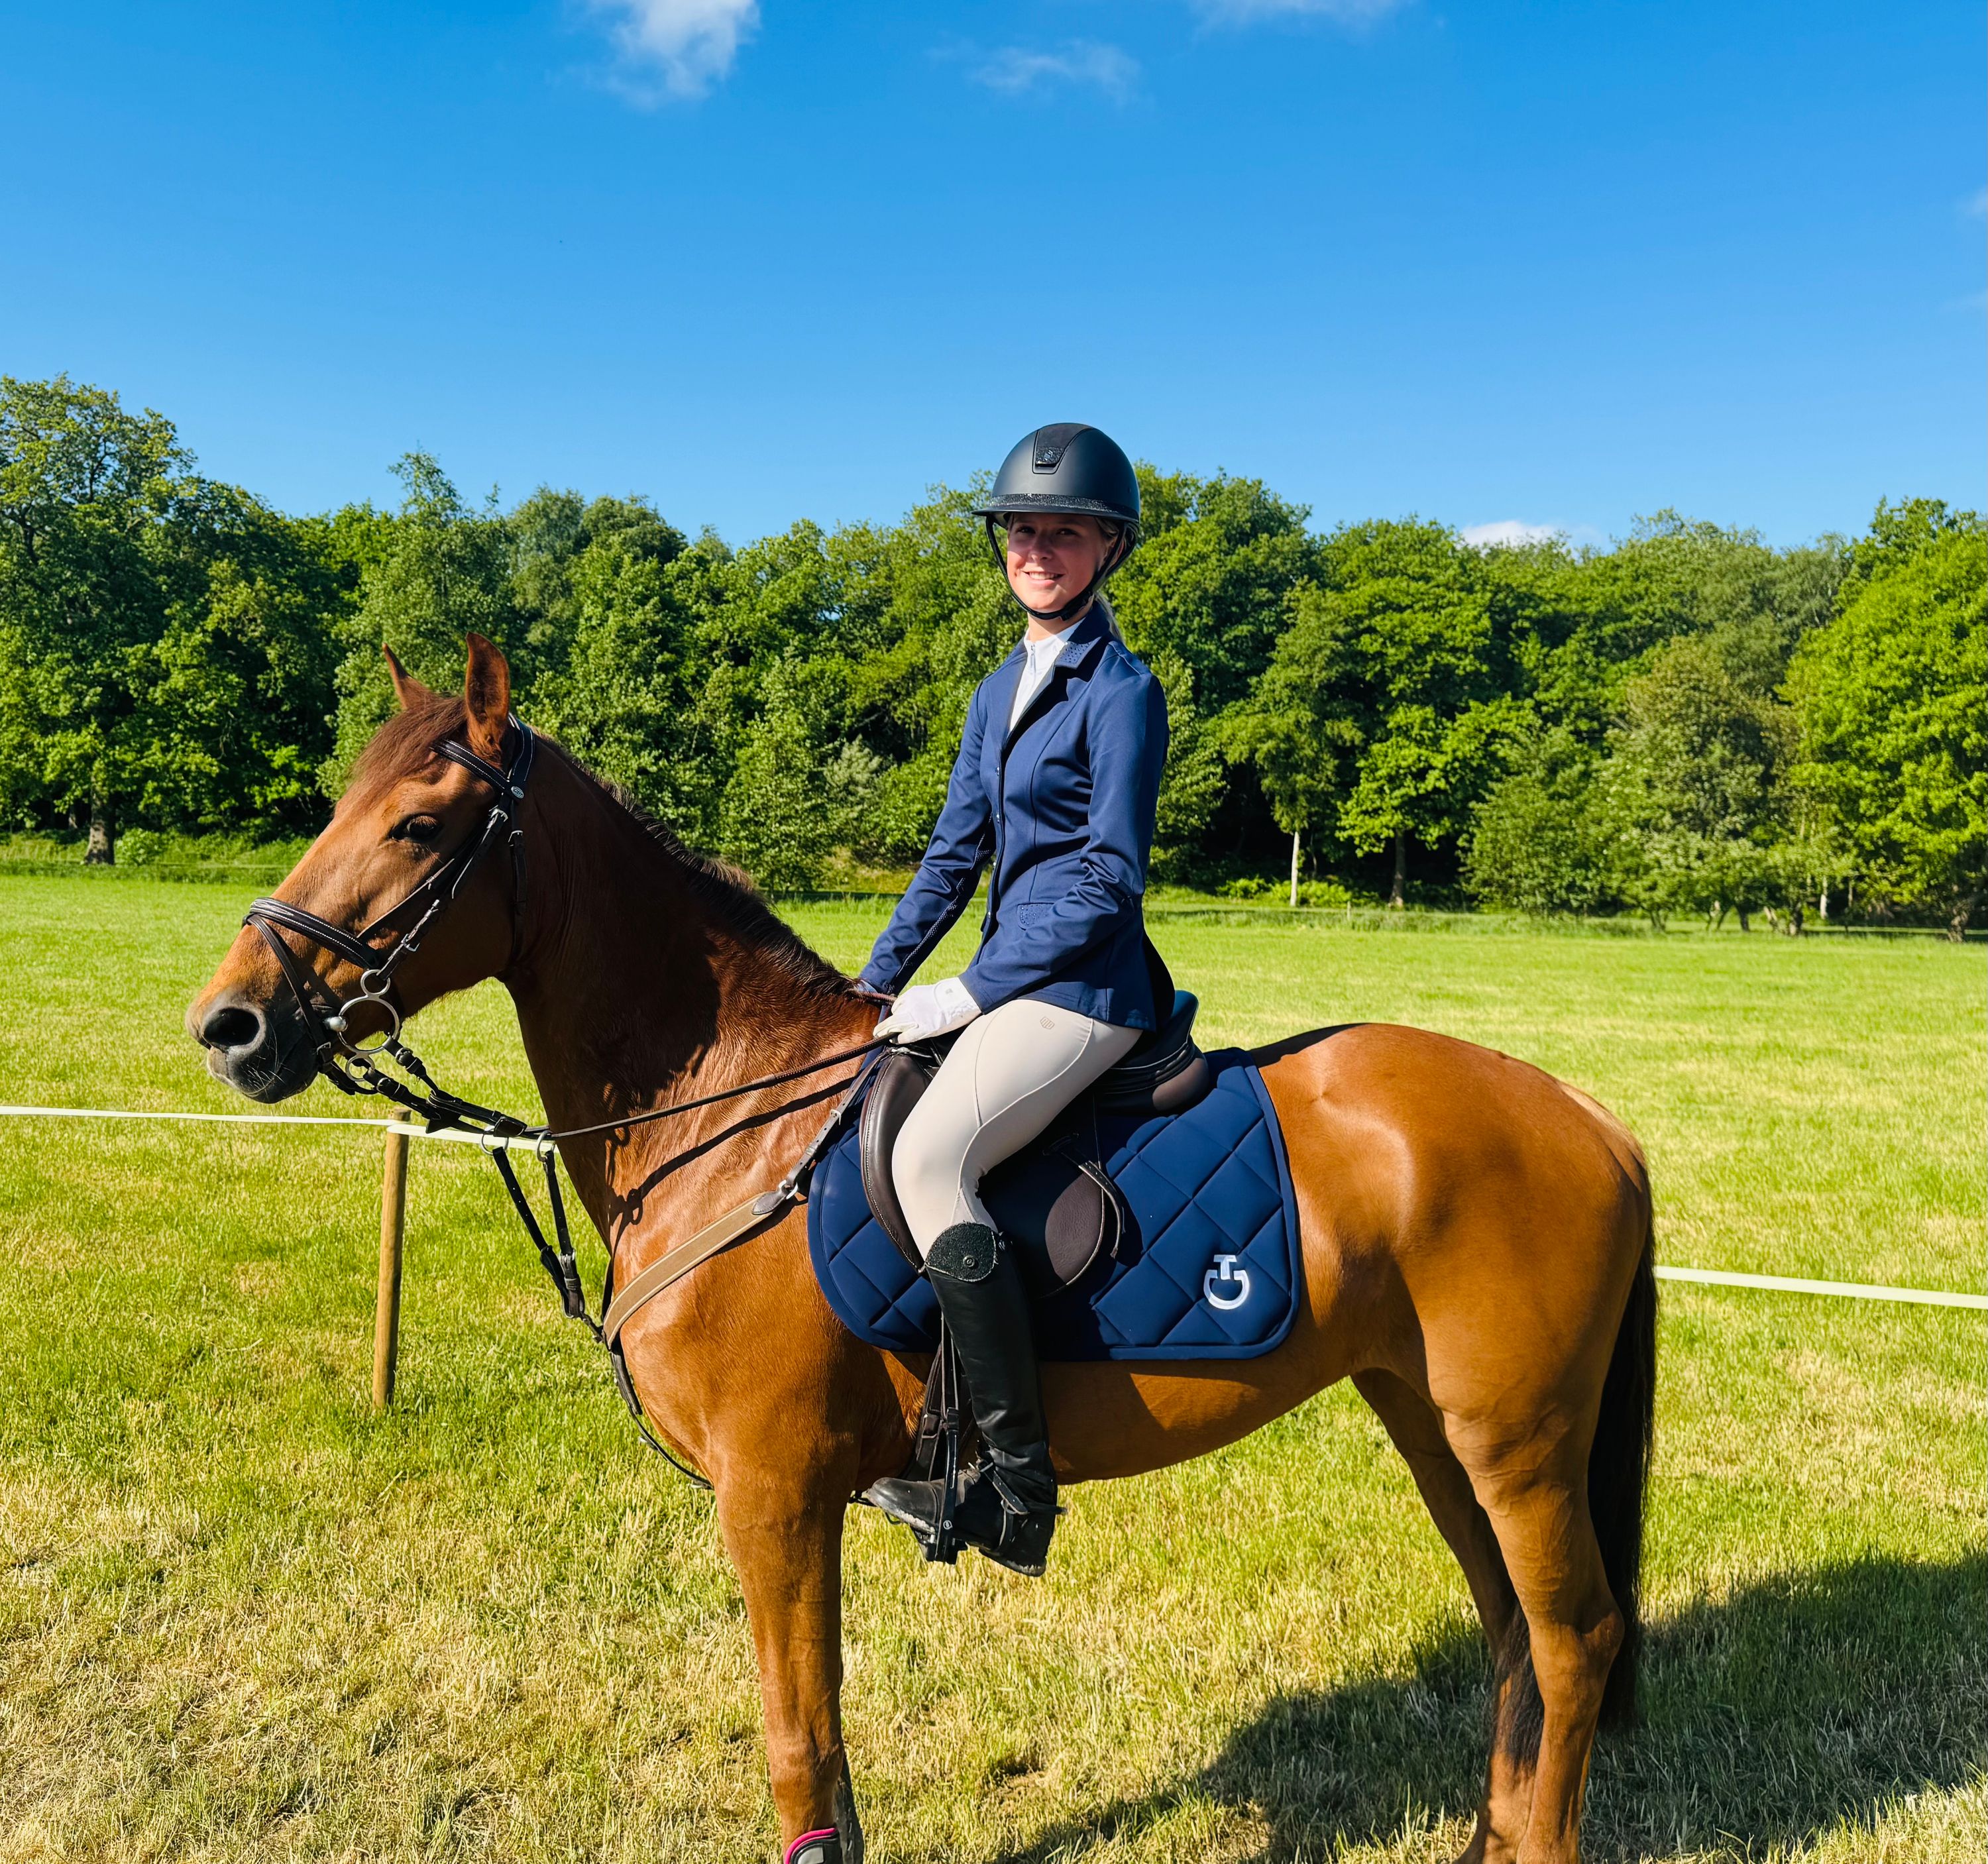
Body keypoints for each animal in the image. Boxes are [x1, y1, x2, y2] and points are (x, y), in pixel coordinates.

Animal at [186, 635, 1655, 1864]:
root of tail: (1587, 1112)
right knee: (1513, 1637)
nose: (231, 1025)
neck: (732, 1115)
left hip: (1518, 1439)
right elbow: (825, 1743)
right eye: (335, 806)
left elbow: (798, 1734)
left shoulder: (771, 1493)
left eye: (418, 823)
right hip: (1431, 1417)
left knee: (1572, 1637)